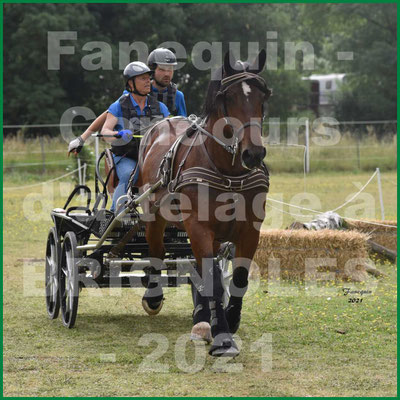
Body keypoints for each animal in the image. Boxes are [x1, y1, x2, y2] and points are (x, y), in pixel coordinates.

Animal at [136, 50, 270, 356]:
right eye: (228, 97)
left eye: (263, 97)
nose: (253, 154)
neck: (229, 172)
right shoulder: (198, 226)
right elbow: (214, 283)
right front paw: (223, 338)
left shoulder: (250, 229)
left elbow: (237, 278)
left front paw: (230, 320)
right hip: (155, 217)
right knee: (157, 252)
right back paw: (154, 296)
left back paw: (201, 319)